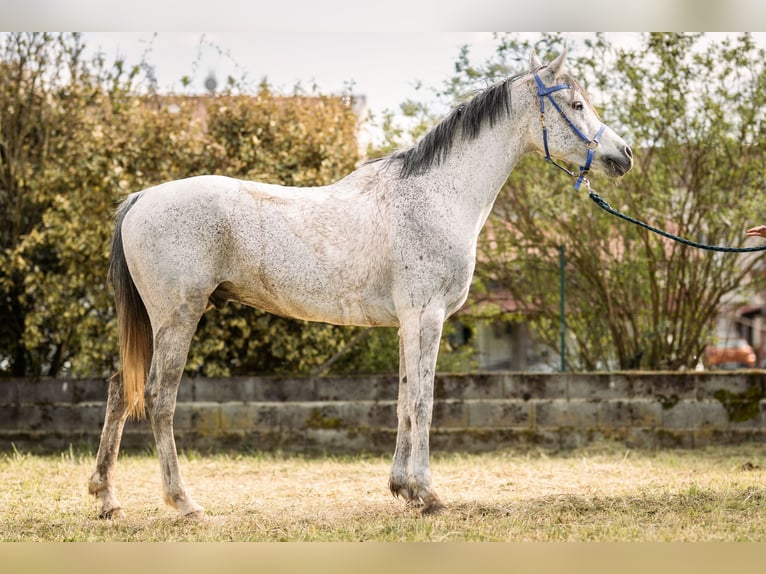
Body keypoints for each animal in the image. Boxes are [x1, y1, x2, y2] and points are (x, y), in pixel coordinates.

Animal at [88, 49, 633, 518]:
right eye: (577, 104)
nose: (623, 154)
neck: (437, 194)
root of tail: (141, 199)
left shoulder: (407, 322)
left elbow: (403, 402)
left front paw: (403, 489)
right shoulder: (428, 317)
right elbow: (424, 401)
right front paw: (428, 494)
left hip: (156, 323)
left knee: (119, 389)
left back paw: (107, 499)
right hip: (178, 317)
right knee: (159, 397)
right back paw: (183, 502)